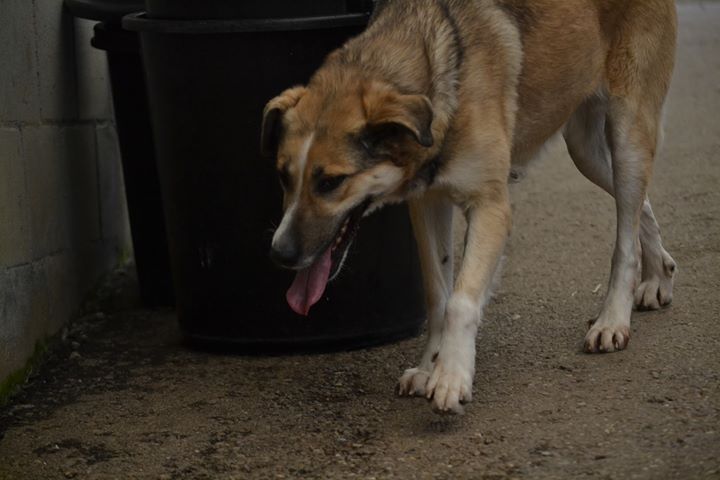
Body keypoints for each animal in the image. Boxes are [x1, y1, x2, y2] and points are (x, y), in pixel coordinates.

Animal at [261, 0, 678, 414]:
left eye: (331, 182)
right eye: (282, 175)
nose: (279, 254)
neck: (440, 73)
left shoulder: (490, 207)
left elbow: (461, 300)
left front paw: (451, 376)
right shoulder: (428, 205)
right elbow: (438, 294)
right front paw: (430, 366)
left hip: (627, 133)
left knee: (625, 234)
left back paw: (612, 320)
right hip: (585, 151)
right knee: (640, 205)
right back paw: (659, 273)